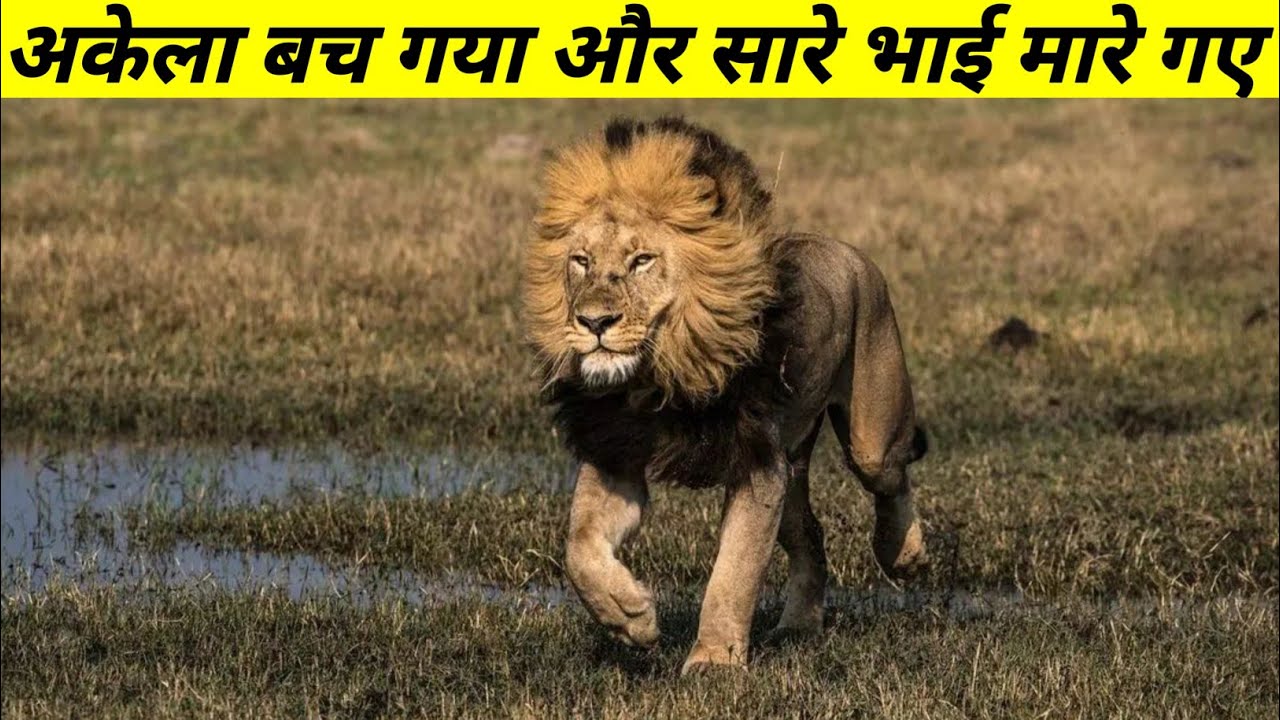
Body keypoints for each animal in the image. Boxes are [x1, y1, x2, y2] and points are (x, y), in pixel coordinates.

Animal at [522, 117, 928, 673]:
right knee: (811, 536)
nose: (594, 322)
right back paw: (799, 626)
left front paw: (714, 661)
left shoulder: (757, 467)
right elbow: (578, 547)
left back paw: (903, 554)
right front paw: (630, 619)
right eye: (581, 261)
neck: (659, 374)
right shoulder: (617, 456)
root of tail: (844, 247)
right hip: (791, 467)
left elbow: (733, 573)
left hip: (869, 430)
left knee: (890, 475)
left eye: (642, 260)